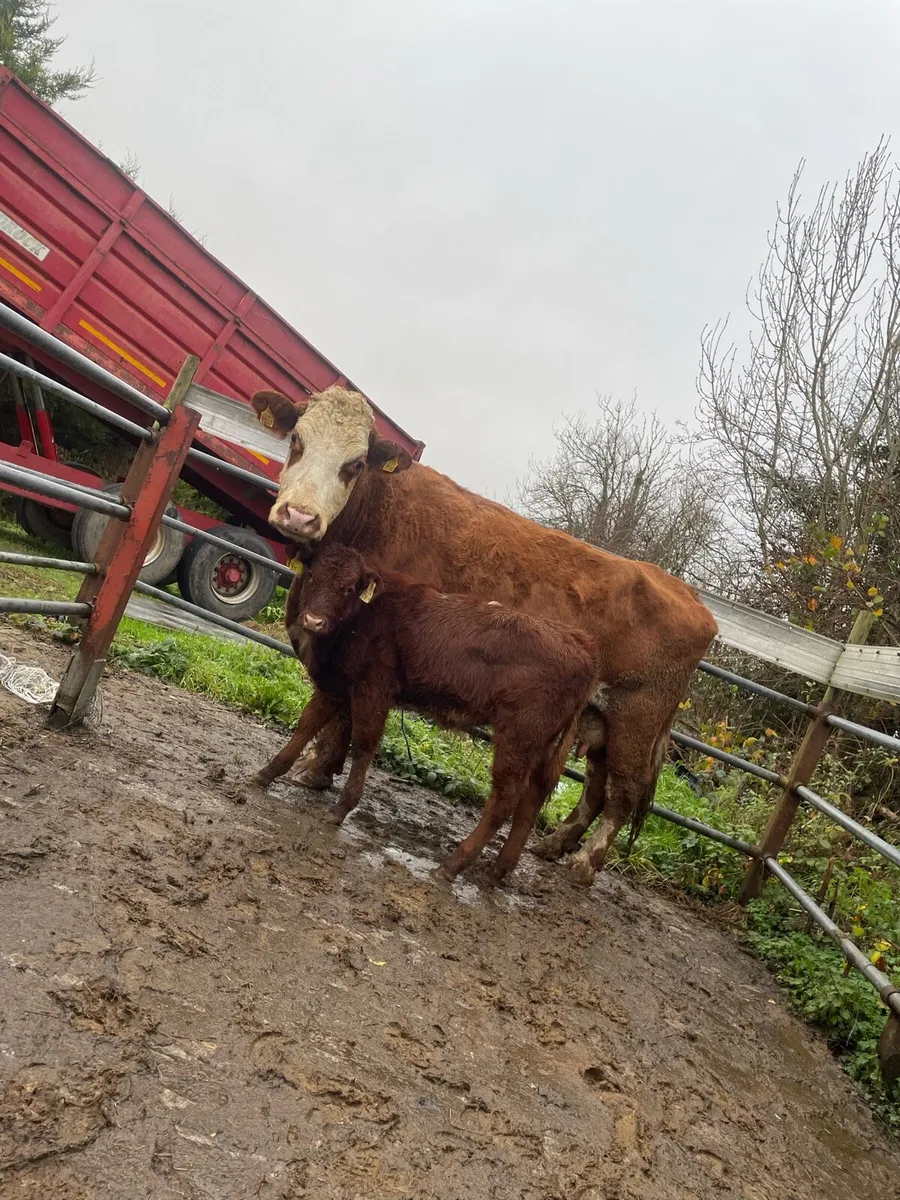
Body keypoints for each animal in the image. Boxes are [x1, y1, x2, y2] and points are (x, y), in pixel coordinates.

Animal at [254, 545, 599, 881]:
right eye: (313, 575)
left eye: (349, 588)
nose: (314, 621)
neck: (363, 619)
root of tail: (581, 643)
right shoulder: (336, 685)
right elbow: (306, 725)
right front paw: (267, 773)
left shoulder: (373, 691)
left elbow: (363, 744)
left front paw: (341, 808)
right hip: (542, 744)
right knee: (532, 798)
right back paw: (499, 870)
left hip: (518, 737)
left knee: (505, 799)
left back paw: (453, 864)